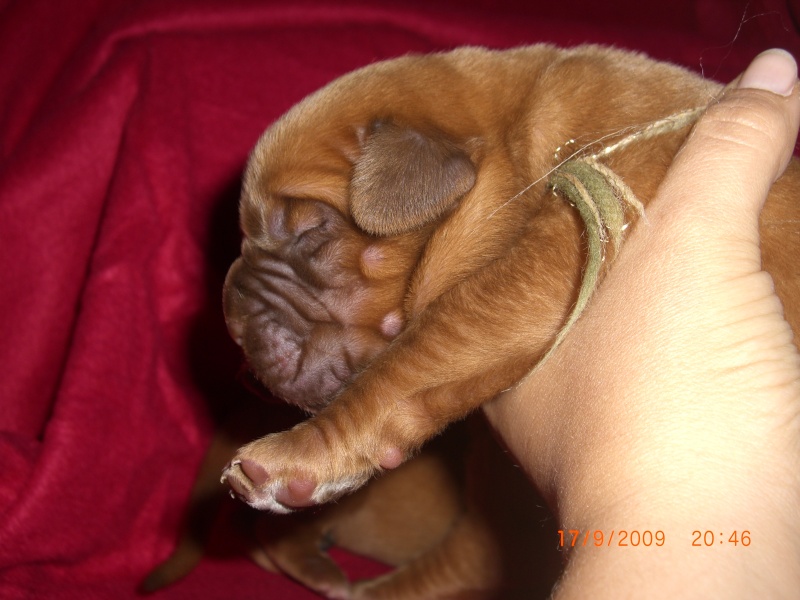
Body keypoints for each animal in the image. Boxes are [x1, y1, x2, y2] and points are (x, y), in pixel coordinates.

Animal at [219, 47, 800, 600]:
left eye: (310, 232)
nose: (231, 317)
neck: (516, 139)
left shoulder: (561, 249)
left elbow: (410, 359)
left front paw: (295, 456)